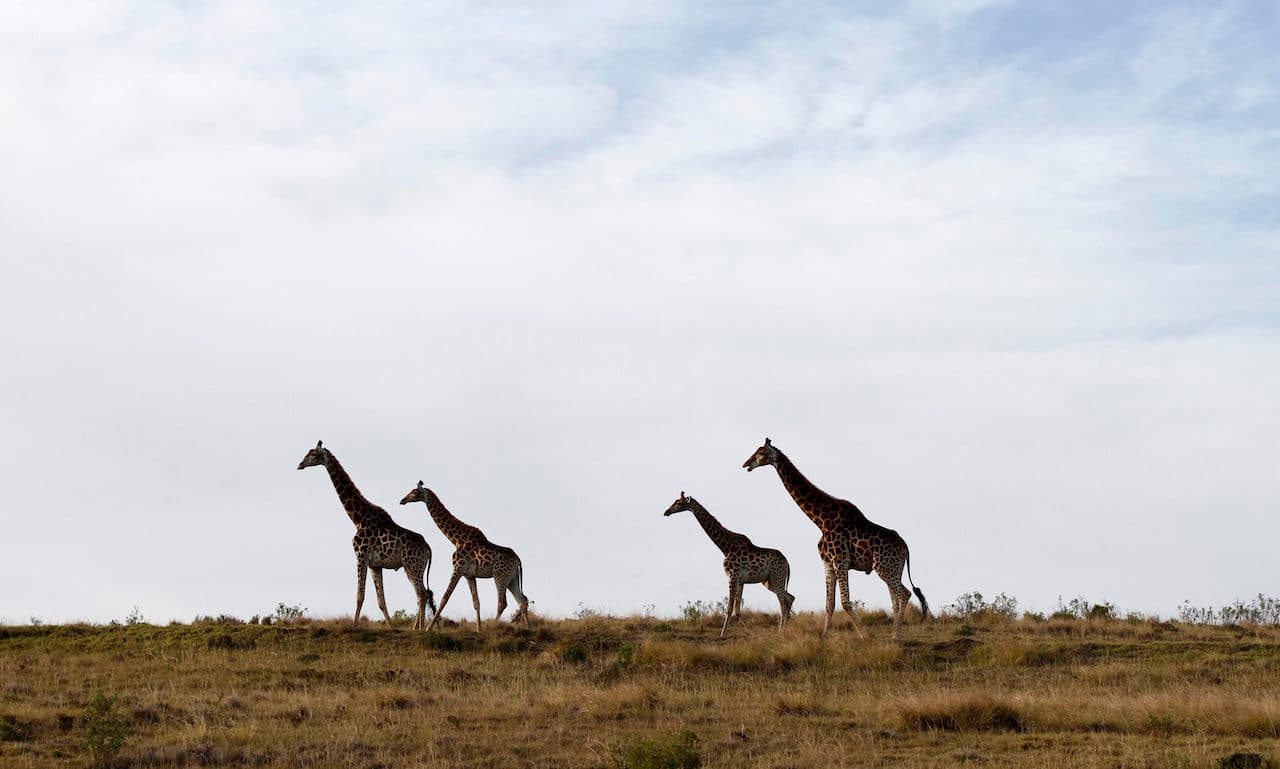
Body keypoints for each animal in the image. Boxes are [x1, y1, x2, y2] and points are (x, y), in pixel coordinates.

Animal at [297, 441, 436, 629]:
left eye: (313, 454)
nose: (300, 464)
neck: (358, 518)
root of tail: (428, 548)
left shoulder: (360, 556)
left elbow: (359, 596)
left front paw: (354, 625)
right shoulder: (375, 565)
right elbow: (381, 600)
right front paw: (391, 627)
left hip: (412, 566)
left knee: (422, 593)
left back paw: (420, 629)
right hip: (415, 568)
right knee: (422, 594)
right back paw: (419, 627)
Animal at [400, 481, 529, 631]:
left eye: (414, 492)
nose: (402, 500)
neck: (456, 539)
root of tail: (518, 559)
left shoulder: (458, 568)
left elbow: (445, 598)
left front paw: (428, 628)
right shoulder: (469, 575)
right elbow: (476, 602)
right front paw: (478, 629)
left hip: (500, 575)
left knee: (502, 602)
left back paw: (493, 626)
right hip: (512, 578)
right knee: (522, 600)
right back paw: (529, 627)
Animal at [664, 492, 795, 636]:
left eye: (678, 503)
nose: (666, 512)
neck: (725, 547)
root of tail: (787, 563)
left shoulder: (732, 576)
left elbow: (729, 608)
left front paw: (722, 634)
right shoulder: (740, 580)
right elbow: (737, 610)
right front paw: (748, 632)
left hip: (777, 578)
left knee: (783, 603)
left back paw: (781, 631)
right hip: (769, 582)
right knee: (789, 597)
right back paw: (785, 627)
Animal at [743, 438, 929, 640]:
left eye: (761, 453)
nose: (746, 464)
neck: (821, 520)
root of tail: (905, 548)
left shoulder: (841, 560)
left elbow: (845, 601)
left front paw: (864, 634)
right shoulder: (828, 563)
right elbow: (829, 603)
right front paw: (825, 635)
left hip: (884, 567)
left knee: (904, 594)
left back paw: (897, 635)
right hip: (894, 569)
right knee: (895, 599)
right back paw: (895, 634)